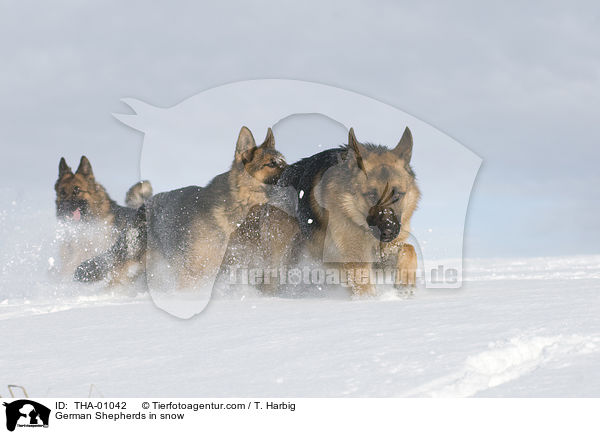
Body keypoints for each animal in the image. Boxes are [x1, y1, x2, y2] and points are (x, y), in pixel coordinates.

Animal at [223, 125, 420, 294]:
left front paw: (405, 283)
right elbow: (364, 287)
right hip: (278, 258)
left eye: (397, 195)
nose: (388, 231)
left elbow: (409, 249)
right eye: (371, 195)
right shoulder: (356, 258)